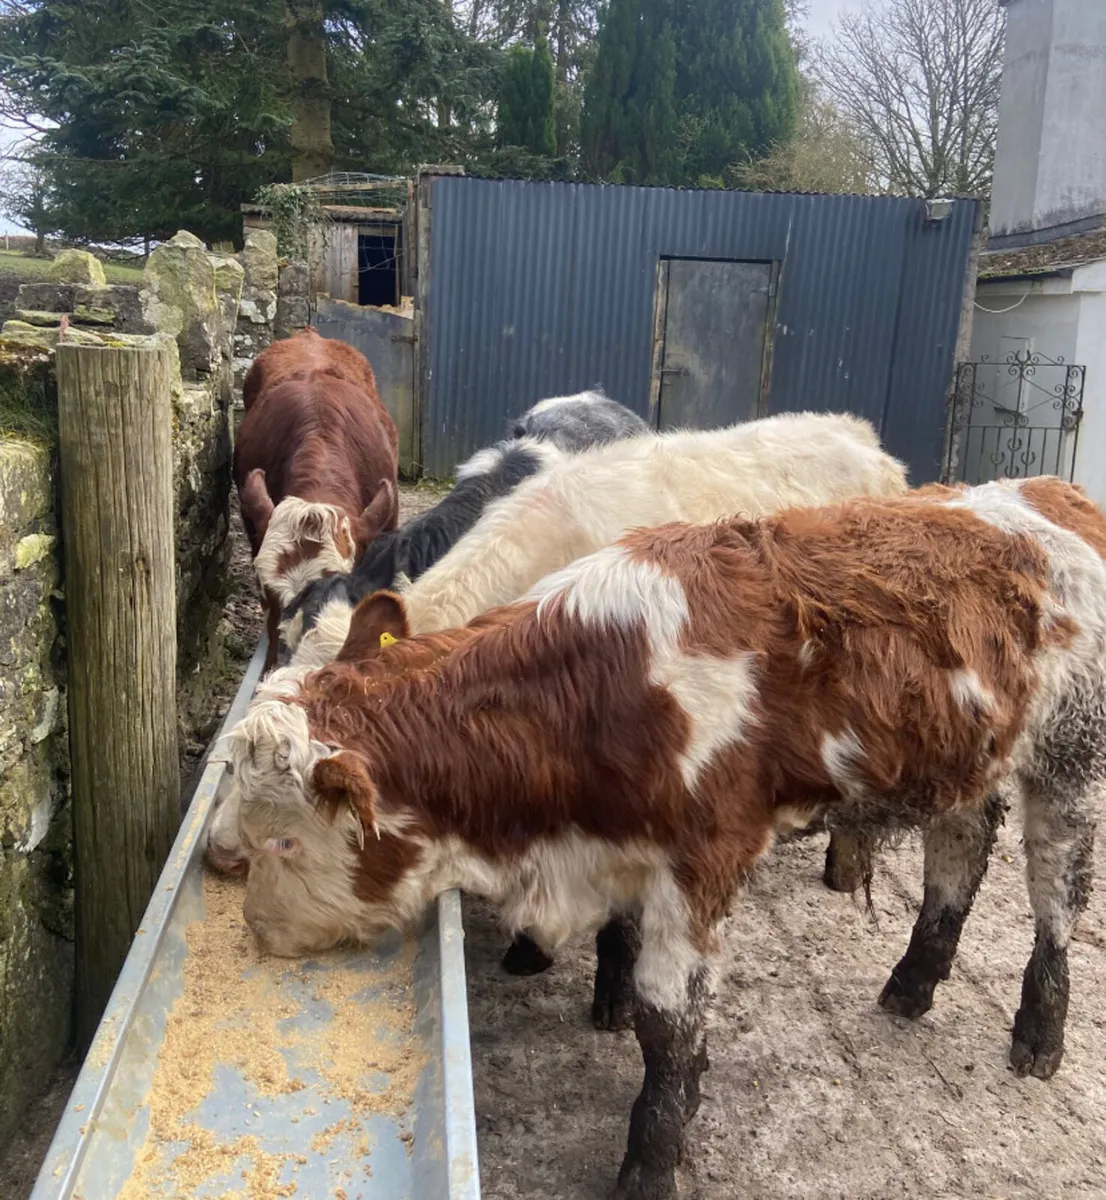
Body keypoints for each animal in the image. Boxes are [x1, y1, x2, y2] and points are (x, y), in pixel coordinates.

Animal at [227, 475, 1106, 1200]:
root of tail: (1055, 490)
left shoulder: (701, 865)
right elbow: (639, 972)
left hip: (1070, 761)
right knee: (959, 850)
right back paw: (914, 980)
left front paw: (652, 1159)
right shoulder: (622, 851)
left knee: (1057, 893)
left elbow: (666, 1022)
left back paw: (1039, 1032)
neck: (600, 687)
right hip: (973, 756)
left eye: (285, 843)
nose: (256, 930)